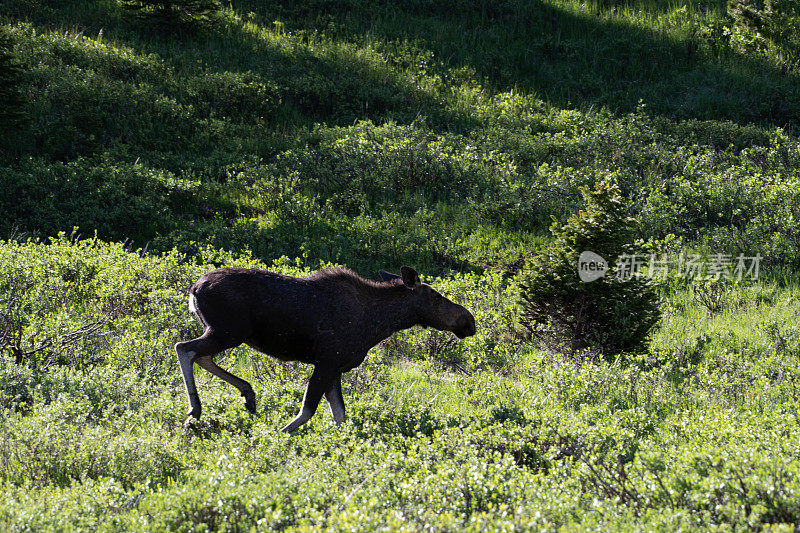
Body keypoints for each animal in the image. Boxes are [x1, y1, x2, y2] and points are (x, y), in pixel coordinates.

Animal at [175, 266, 476, 432]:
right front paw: (277, 435)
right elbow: (308, 410)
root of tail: (194, 288)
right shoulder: (327, 361)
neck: (380, 323)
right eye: (435, 295)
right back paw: (195, 410)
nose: (468, 321)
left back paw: (247, 394)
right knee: (185, 348)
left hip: (224, 333)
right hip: (228, 331)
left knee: (201, 355)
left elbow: (340, 416)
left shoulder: (336, 368)